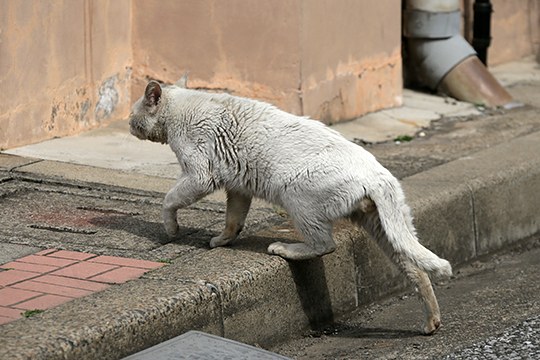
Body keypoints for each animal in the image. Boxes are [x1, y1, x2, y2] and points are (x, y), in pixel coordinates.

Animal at [130, 76, 452, 334]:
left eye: (132, 114)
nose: (129, 125)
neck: (180, 107)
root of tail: (379, 174)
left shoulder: (201, 175)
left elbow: (170, 199)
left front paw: (171, 230)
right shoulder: (238, 187)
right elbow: (233, 219)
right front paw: (222, 240)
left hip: (295, 193)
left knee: (324, 244)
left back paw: (285, 248)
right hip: (385, 226)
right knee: (416, 268)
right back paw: (432, 322)